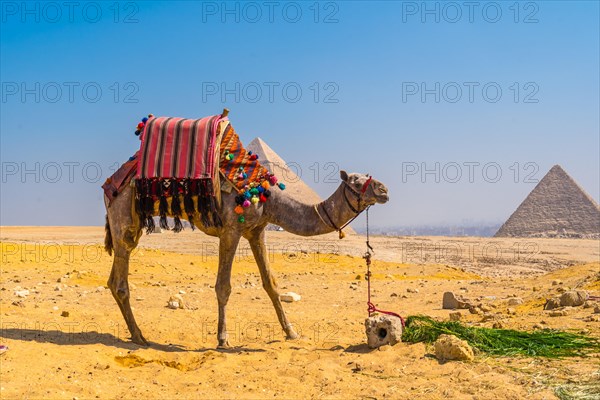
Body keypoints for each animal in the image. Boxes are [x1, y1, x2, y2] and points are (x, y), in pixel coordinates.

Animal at [103, 169, 390, 346]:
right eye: (356, 182)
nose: (384, 189)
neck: (270, 200)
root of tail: (110, 185)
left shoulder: (256, 231)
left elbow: (271, 284)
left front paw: (291, 332)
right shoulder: (231, 228)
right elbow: (223, 286)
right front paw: (223, 339)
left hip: (131, 223)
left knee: (113, 279)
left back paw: (135, 333)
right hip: (124, 215)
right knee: (120, 280)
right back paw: (139, 336)